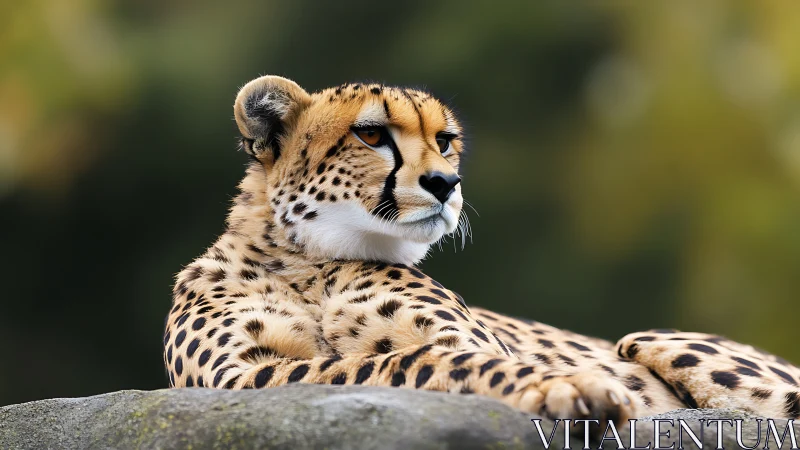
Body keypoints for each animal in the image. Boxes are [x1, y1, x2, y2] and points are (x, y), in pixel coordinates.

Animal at [164, 75, 800, 429]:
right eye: (371, 134)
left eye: (444, 141)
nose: (446, 183)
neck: (312, 261)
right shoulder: (241, 379)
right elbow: (400, 361)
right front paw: (566, 389)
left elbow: (438, 356)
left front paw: (567, 386)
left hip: (658, 339)